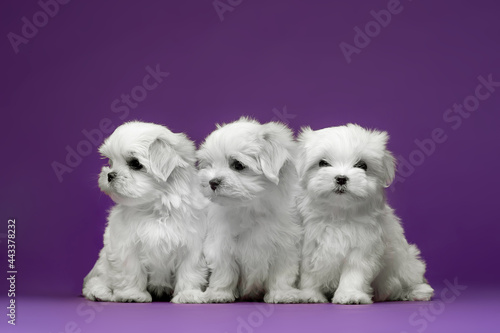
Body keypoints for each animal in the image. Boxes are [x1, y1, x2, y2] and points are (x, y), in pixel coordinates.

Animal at [82, 120, 207, 302]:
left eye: (135, 163)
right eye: (111, 162)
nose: (110, 175)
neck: (155, 209)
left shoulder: (193, 245)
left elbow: (190, 271)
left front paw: (188, 294)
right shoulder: (126, 246)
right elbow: (131, 271)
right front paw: (132, 294)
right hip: (104, 262)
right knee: (98, 279)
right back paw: (99, 292)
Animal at [197, 117, 302, 304]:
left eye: (238, 165)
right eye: (209, 165)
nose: (212, 182)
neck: (250, 208)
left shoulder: (286, 244)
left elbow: (281, 272)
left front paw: (282, 293)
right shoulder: (221, 243)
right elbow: (224, 270)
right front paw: (219, 293)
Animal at [296, 123, 434, 302]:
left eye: (362, 165)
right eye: (323, 163)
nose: (341, 178)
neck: (339, 212)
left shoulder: (363, 247)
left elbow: (354, 273)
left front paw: (350, 295)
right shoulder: (310, 244)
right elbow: (310, 274)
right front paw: (309, 295)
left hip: (406, 262)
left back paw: (417, 291)